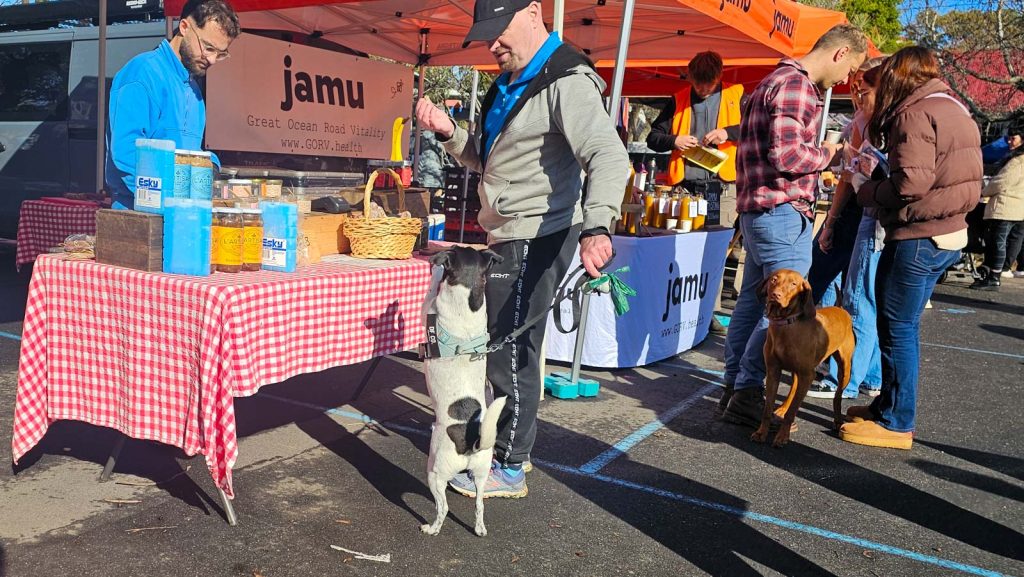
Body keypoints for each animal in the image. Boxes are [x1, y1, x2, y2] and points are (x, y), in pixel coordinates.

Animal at [419, 245, 507, 541]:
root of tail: (472, 442)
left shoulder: (428, 308)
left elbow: (431, 288)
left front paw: (435, 270)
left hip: (435, 473)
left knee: (443, 507)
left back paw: (432, 528)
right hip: (481, 473)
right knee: (480, 504)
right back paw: (479, 528)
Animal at [753, 268, 856, 448]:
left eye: (794, 284)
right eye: (774, 279)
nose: (776, 294)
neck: (786, 325)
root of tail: (840, 308)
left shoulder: (808, 376)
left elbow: (793, 412)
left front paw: (782, 437)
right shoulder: (773, 371)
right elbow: (767, 408)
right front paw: (761, 432)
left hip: (845, 369)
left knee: (837, 396)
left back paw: (837, 420)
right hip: (796, 370)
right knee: (794, 387)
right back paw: (782, 408)